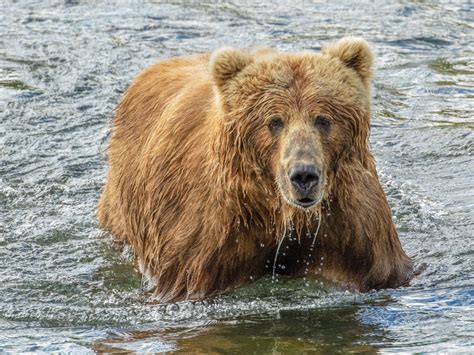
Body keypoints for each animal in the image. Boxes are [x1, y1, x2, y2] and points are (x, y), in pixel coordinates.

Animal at [98, 36, 412, 304]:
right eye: (274, 121)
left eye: (323, 119)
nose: (303, 175)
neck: (282, 213)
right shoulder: (209, 234)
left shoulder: (351, 225)